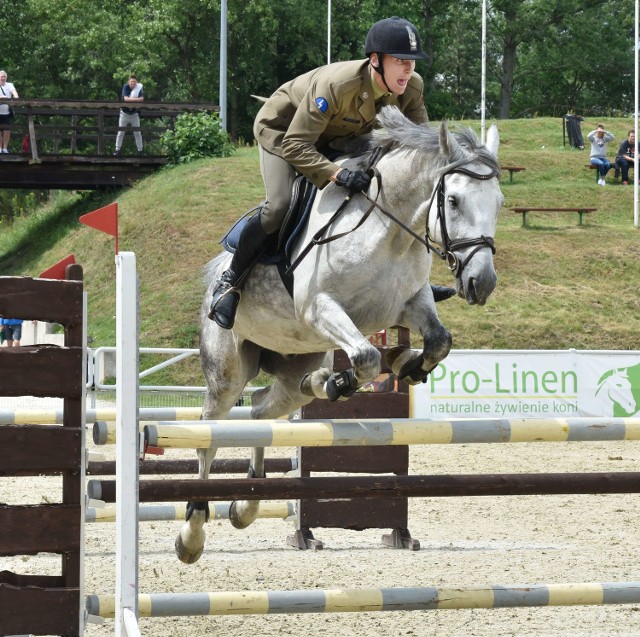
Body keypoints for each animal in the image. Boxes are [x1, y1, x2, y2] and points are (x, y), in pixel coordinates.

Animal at [176, 107, 504, 564]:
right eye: (453, 201)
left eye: (500, 203)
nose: (482, 282)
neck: (390, 230)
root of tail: (215, 273)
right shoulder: (320, 306)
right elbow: (366, 358)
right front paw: (343, 382)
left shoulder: (410, 302)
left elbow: (439, 341)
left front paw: (406, 364)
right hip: (227, 371)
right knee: (210, 431)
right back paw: (192, 531)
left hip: (296, 363)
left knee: (262, 412)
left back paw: (248, 503)